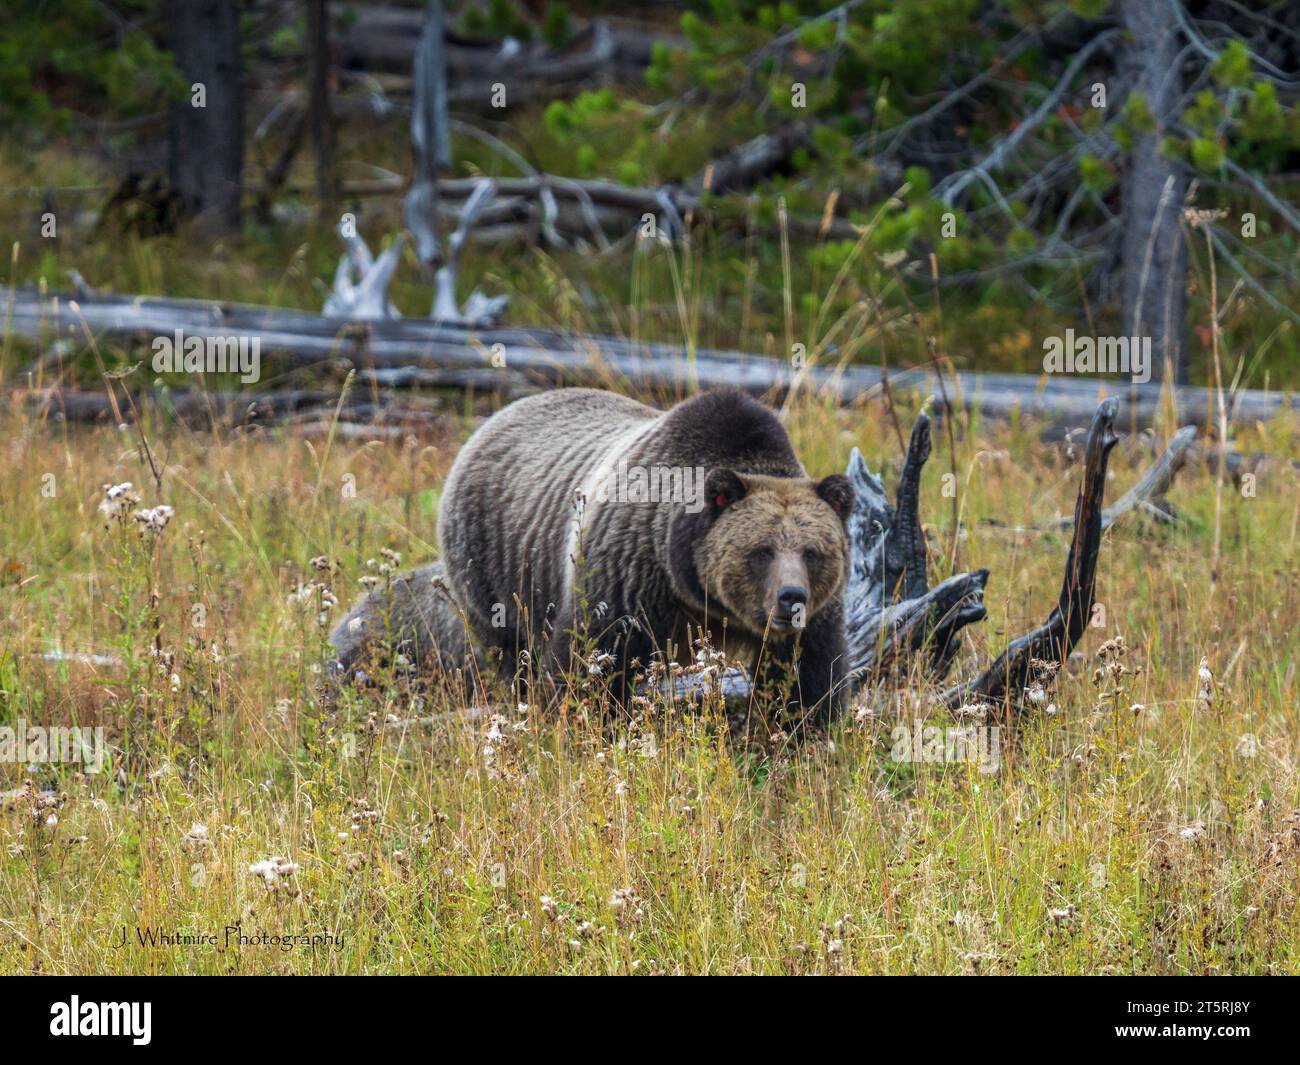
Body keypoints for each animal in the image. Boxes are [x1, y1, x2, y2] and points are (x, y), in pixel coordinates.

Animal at [332, 387, 854, 728]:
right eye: (760, 550)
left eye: (812, 552)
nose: (791, 598)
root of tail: (491, 420)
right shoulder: (628, 574)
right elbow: (588, 666)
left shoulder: (814, 620)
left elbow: (808, 680)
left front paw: (797, 737)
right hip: (495, 567)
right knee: (513, 655)